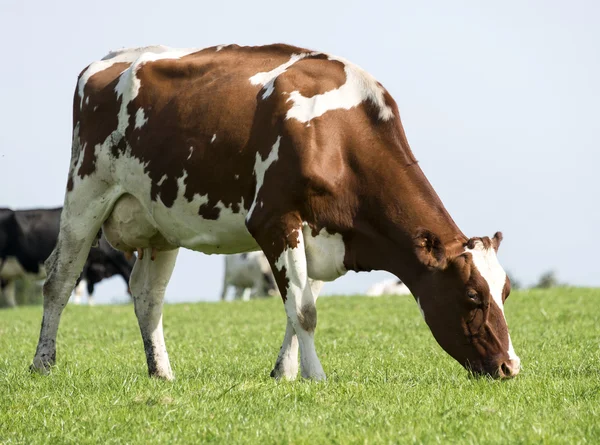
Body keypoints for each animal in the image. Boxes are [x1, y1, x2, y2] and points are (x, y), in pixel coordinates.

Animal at [0, 206, 134, 306]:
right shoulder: (85, 263)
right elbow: (78, 287)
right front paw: (76, 305)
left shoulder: (93, 268)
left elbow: (90, 289)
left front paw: (91, 306)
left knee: (8, 292)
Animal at [31, 43, 520, 380]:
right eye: (472, 296)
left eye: (506, 292)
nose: (510, 367)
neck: (338, 136)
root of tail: (109, 60)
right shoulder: (274, 221)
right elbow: (303, 311)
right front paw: (316, 377)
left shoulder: (323, 238)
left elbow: (298, 304)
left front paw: (284, 373)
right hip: (84, 195)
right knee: (59, 281)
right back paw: (43, 364)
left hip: (158, 222)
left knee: (148, 296)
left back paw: (162, 373)